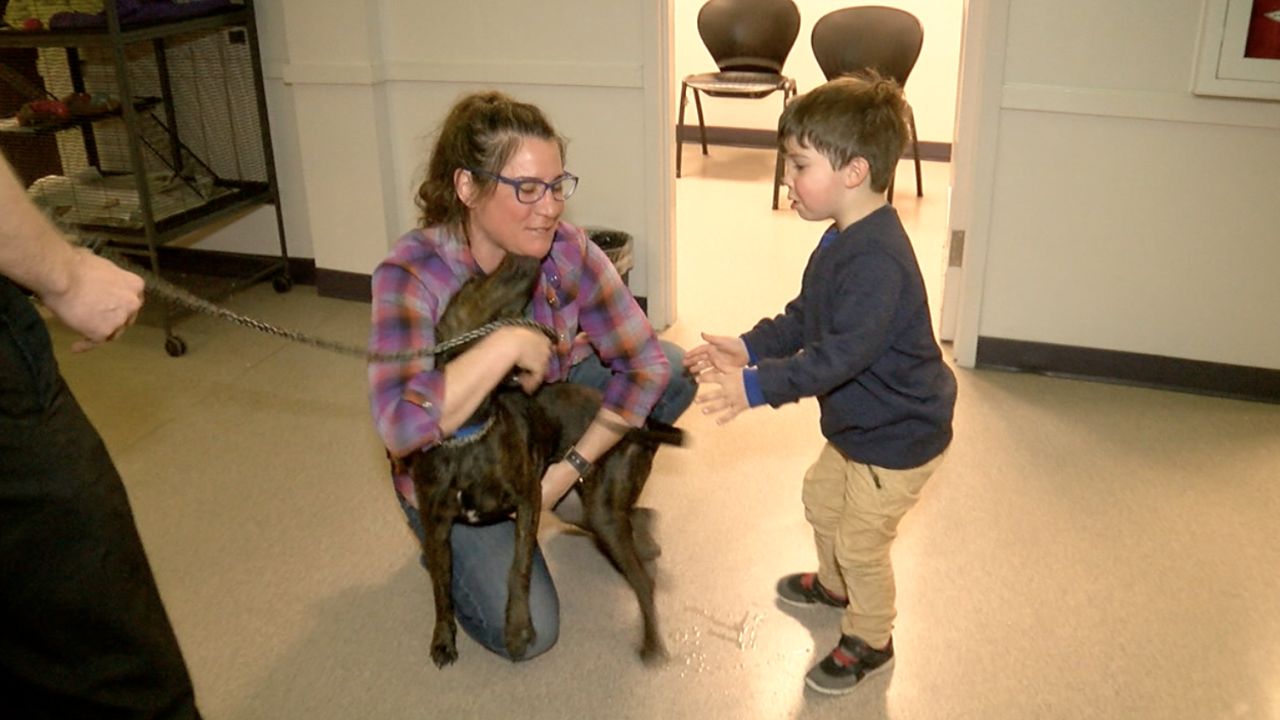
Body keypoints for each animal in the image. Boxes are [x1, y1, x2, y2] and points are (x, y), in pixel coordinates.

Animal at [409, 252, 686, 666]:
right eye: (474, 280)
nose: (523, 256)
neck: (469, 435)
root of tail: (638, 426)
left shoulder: (529, 500)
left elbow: (518, 567)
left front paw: (518, 629)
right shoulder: (437, 525)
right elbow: (441, 586)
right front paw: (443, 638)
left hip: (599, 510)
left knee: (643, 579)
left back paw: (651, 641)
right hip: (583, 509)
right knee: (639, 517)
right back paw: (647, 540)